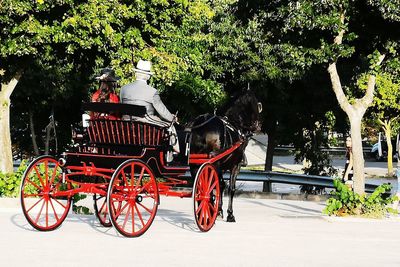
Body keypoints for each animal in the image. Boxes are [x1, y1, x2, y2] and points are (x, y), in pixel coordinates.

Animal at [188, 91, 262, 223]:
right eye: (255, 105)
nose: (258, 126)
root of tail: (201, 123)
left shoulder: (220, 167)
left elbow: (219, 186)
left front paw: (219, 210)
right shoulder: (236, 165)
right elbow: (230, 188)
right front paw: (229, 214)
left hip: (195, 163)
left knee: (200, 186)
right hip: (214, 161)